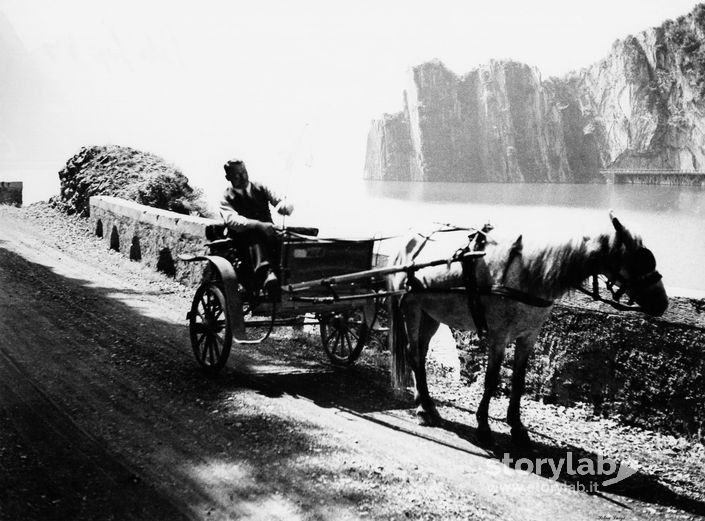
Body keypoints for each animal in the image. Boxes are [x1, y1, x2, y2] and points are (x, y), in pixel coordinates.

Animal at [388, 209, 668, 444]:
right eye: (641, 260)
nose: (662, 303)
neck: (531, 273)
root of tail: (406, 243)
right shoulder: (498, 336)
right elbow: (491, 380)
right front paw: (483, 426)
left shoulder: (529, 336)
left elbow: (519, 380)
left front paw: (517, 426)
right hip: (412, 309)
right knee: (414, 355)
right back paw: (423, 410)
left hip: (431, 314)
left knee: (420, 354)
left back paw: (426, 404)